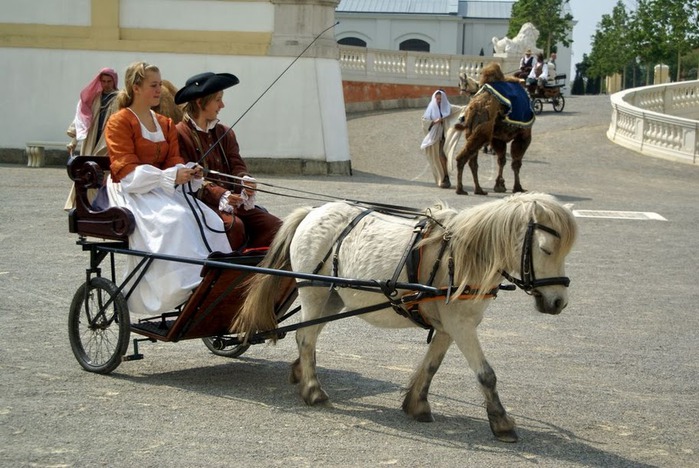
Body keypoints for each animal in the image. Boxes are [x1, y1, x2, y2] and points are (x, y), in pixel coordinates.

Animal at [235, 193, 580, 442]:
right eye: (546, 249)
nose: (559, 302)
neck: (459, 258)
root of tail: (312, 212)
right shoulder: (461, 326)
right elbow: (486, 374)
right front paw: (502, 423)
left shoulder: (449, 327)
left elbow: (431, 366)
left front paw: (416, 404)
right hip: (314, 291)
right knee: (306, 337)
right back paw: (313, 390)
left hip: (332, 297)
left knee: (307, 336)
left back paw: (301, 373)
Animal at [452, 63, 532, 195]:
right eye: (459, 84)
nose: (461, 93)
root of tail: (474, 107)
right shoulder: (524, 135)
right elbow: (516, 163)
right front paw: (518, 187)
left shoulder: (497, 138)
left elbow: (501, 160)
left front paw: (499, 185)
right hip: (482, 132)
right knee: (463, 158)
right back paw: (461, 189)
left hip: (472, 131)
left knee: (472, 161)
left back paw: (478, 189)